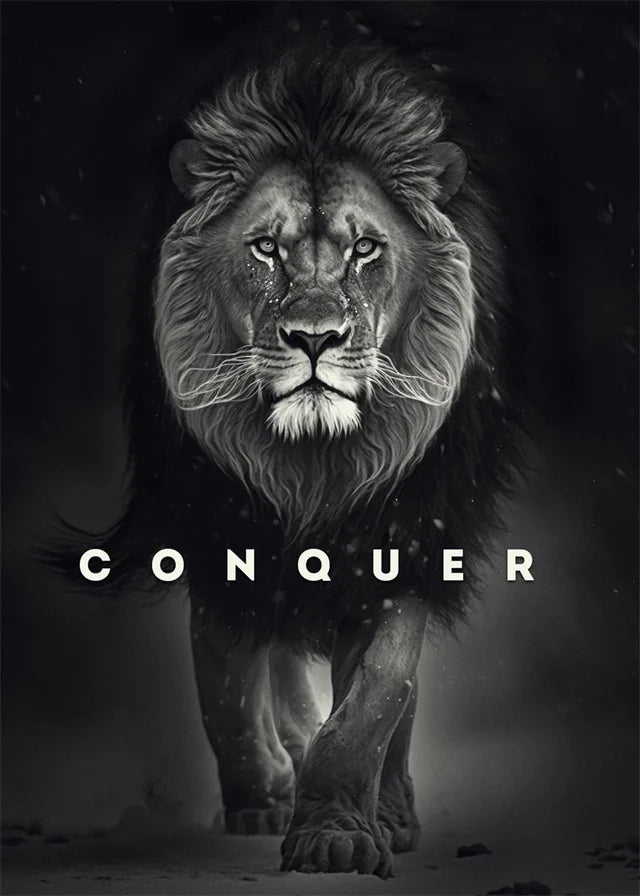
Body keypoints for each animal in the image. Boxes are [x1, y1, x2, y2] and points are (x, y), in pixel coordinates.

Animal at [91, 46, 522, 878]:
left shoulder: (404, 543)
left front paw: (337, 835)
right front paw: (262, 798)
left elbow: (377, 699)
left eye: (365, 249)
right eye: (266, 247)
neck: (314, 467)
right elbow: (227, 688)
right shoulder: (223, 538)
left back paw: (393, 813)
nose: (315, 338)